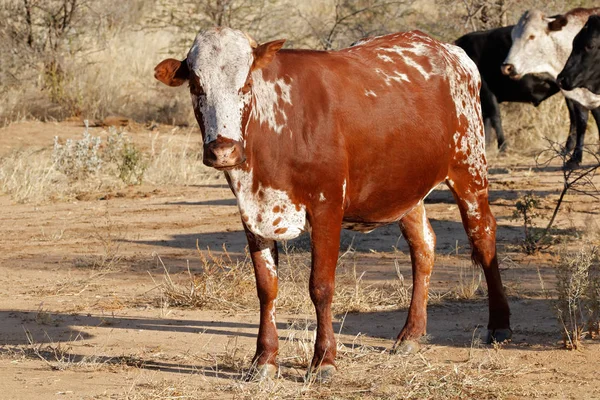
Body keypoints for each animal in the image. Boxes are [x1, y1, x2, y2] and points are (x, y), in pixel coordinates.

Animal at [155, 27, 510, 378]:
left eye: (245, 85)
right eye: (197, 86)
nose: (223, 150)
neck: (278, 126)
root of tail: (449, 50)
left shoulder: (327, 208)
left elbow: (321, 286)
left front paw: (324, 359)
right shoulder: (253, 213)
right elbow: (267, 287)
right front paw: (264, 359)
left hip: (470, 170)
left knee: (484, 237)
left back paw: (499, 325)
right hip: (406, 188)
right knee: (423, 247)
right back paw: (410, 334)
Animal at [502, 7, 600, 167]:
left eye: (532, 36)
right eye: (513, 36)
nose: (507, 67)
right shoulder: (579, 99)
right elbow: (581, 123)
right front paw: (574, 159)